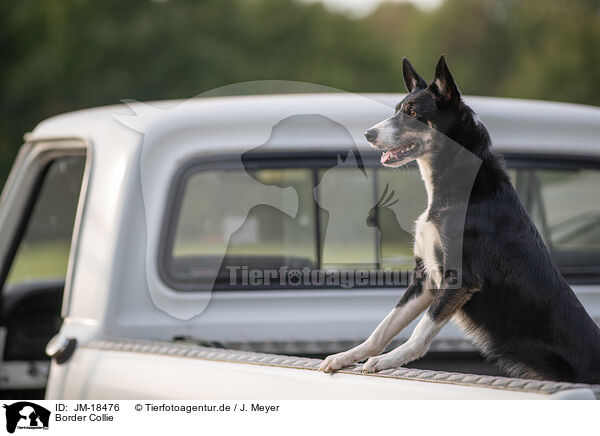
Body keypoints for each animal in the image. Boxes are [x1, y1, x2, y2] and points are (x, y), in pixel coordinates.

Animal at [322, 55, 600, 384]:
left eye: (413, 114)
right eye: (396, 111)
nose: (368, 134)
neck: (456, 187)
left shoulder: (460, 279)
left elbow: (420, 332)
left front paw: (388, 360)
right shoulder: (425, 278)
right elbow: (384, 327)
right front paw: (349, 355)